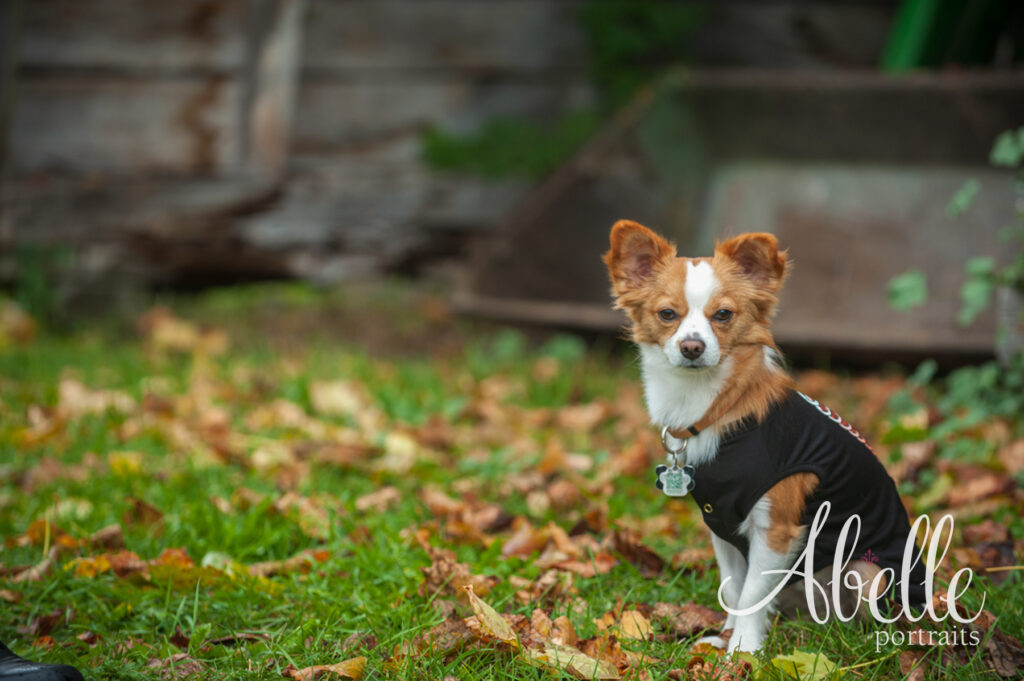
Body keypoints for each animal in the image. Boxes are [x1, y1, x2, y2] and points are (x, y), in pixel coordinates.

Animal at [602, 220, 925, 651]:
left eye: (723, 314)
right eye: (667, 314)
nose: (692, 347)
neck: (715, 405)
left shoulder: (776, 531)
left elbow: (752, 594)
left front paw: (743, 650)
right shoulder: (722, 526)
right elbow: (734, 589)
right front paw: (725, 639)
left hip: (869, 571)